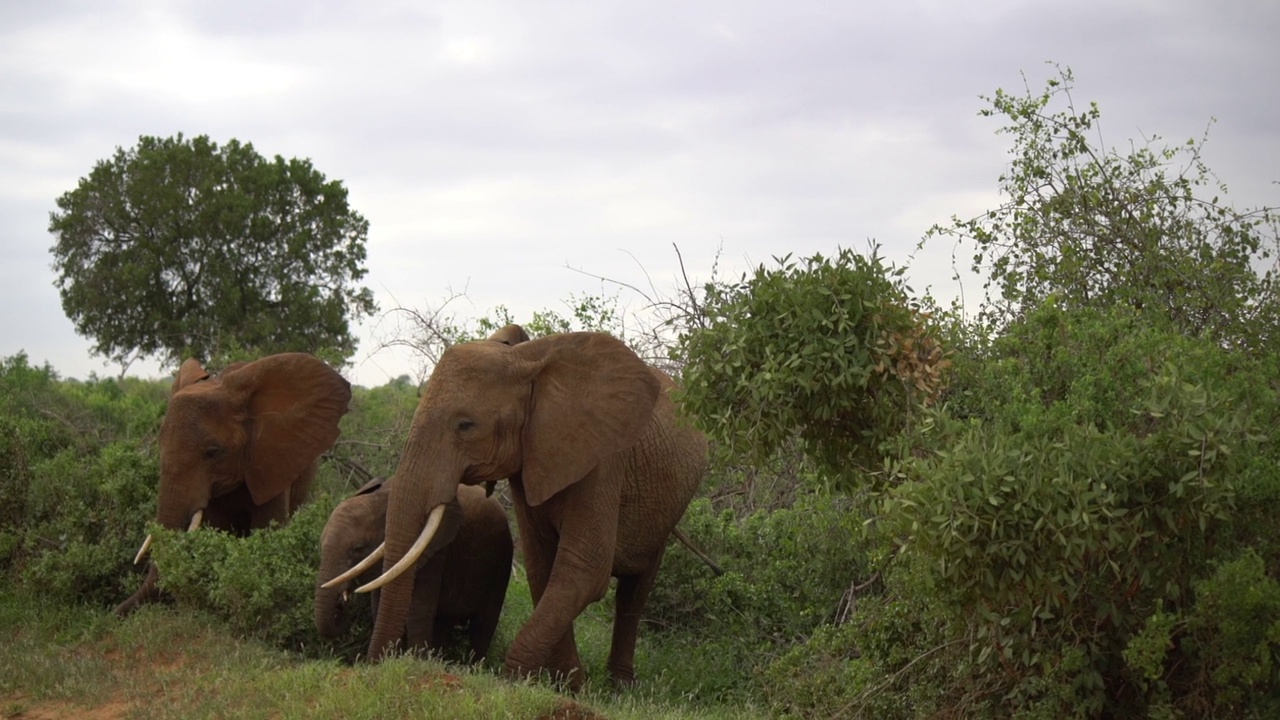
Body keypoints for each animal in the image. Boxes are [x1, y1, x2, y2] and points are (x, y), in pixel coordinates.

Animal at [312, 474, 512, 661]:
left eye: (358, 549)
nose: (341, 603)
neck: (382, 498)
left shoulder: (435, 551)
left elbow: (418, 609)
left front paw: (415, 661)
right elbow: (379, 604)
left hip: (500, 562)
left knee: (483, 624)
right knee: (444, 622)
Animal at [355, 326, 706, 691]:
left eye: (465, 425)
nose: (375, 667)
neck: (527, 363)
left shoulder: (605, 459)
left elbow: (584, 569)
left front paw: (515, 683)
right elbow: (543, 569)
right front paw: (569, 684)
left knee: (635, 591)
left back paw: (620, 688)